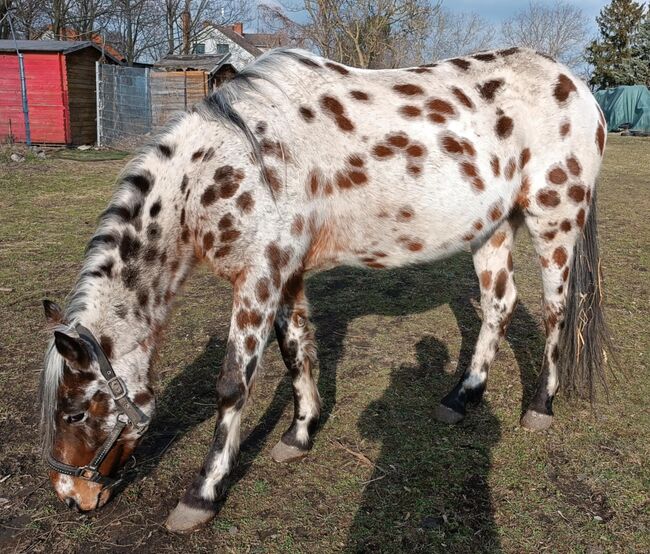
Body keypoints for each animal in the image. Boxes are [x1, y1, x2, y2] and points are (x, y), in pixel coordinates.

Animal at [39, 47, 608, 532]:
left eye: (74, 411)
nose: (71, 497)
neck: (227, 165)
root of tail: (576, 85)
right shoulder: (283, 275)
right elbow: (296, 351)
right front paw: (299, 433)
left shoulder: (258, 279)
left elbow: (232, 386)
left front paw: (201, 495)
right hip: (493, 228)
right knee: (498, 306)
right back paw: (461, 398)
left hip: (554, 222)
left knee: (556, 311)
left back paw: (540, 406)